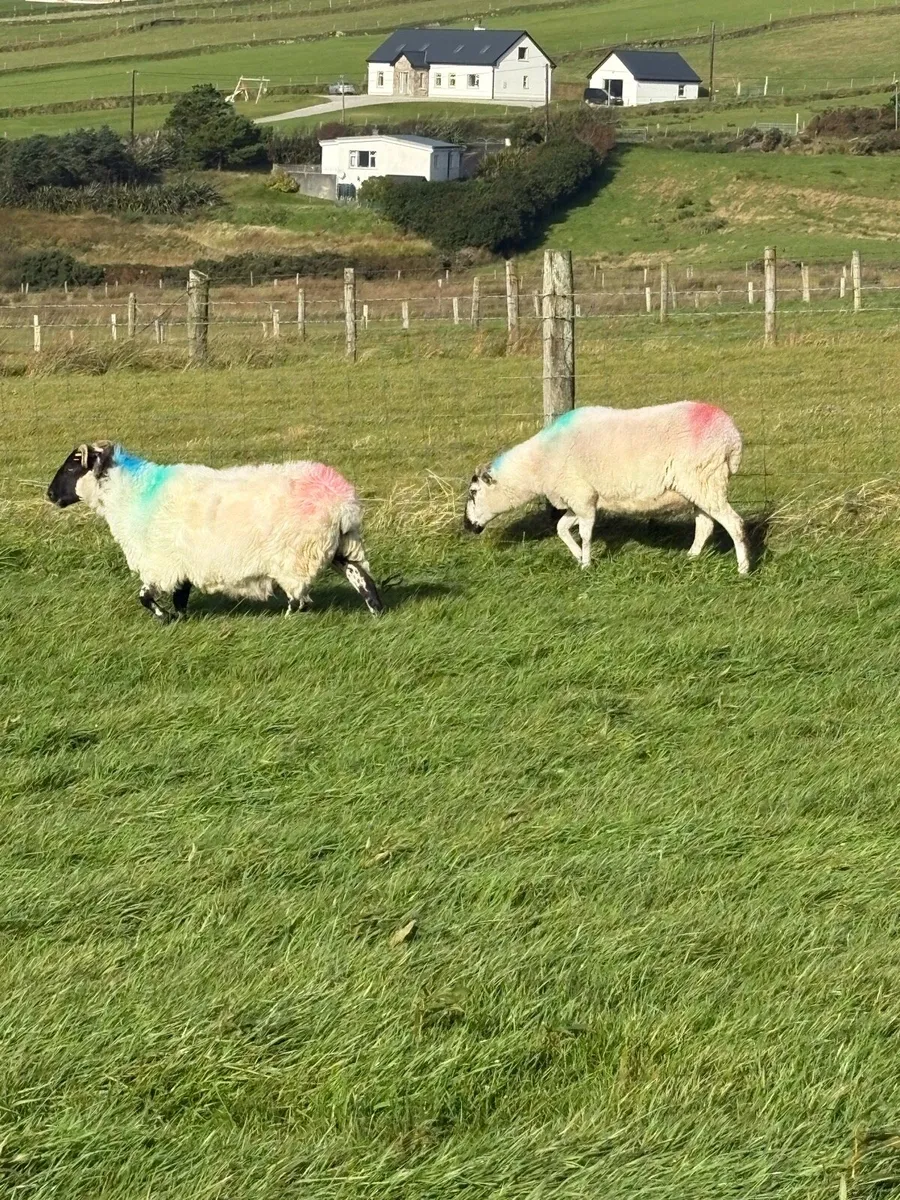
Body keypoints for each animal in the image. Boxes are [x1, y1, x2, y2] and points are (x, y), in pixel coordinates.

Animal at [46, 442, 383, 620]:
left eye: (73, 466)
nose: (49, 494)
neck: (132, 494)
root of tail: (343, 501)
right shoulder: (181, 562)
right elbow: (181, 596)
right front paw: (179, 618)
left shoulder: (161, 563)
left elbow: (145, 596)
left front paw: (164, 618)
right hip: (341, 546)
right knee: (363, 580)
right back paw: (377, 614)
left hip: (297, 556)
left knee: (299, 599)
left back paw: (286, 621)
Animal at [464, 402, 750, 575]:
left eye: (474, 492)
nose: (467, 526)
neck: (540, 463)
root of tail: (732, 437)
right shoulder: (580, 500)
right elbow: (561, 528)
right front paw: (578, 557)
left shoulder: (582, 498)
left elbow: (585, 533)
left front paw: (586, 564)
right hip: (700, 487)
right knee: (705, 525)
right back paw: (691, 557)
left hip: (706, 480)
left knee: (734, 524)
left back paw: (743, 568)